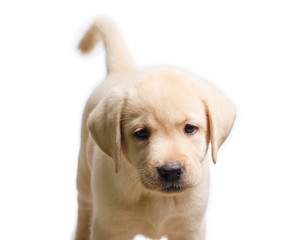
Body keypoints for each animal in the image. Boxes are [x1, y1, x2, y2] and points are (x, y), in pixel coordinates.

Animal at [74, 17, 235, 240]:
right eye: (141, 133)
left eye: (190, 128)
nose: (171, 171)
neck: (156, 198)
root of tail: (122, 72)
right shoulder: (110, 228)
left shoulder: (190, 228)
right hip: (83, 175)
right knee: (84, 208)